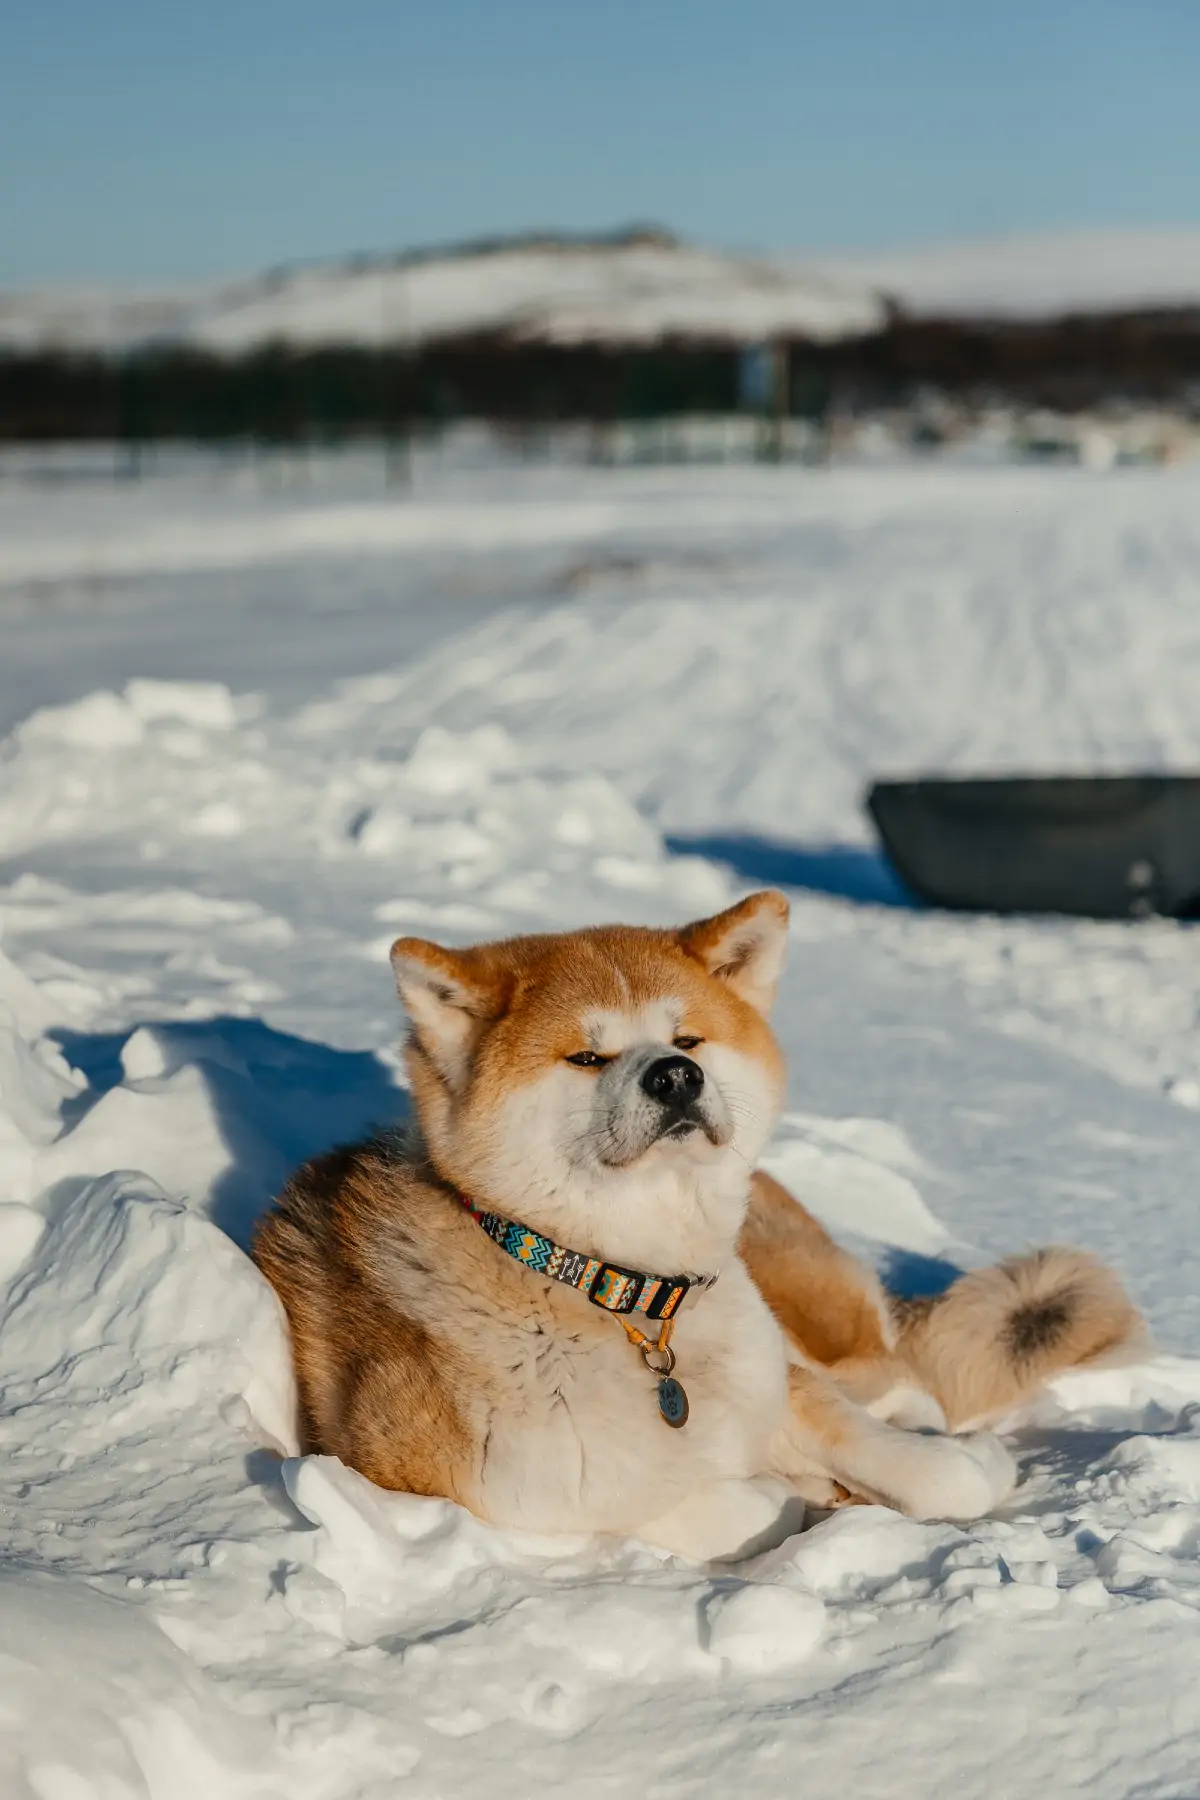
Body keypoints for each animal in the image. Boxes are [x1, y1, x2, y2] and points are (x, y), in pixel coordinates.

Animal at [251, 889, 1144, 1562]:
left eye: (687, 1038)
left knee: (895, 1374)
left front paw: (956, 1466)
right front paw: (808, 1496)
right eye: (586, 1057)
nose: (677, 1076)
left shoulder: (778, 1381)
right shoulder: (491, 1495)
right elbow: (737, 1507)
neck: (619, 1291)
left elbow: (921, 1466)